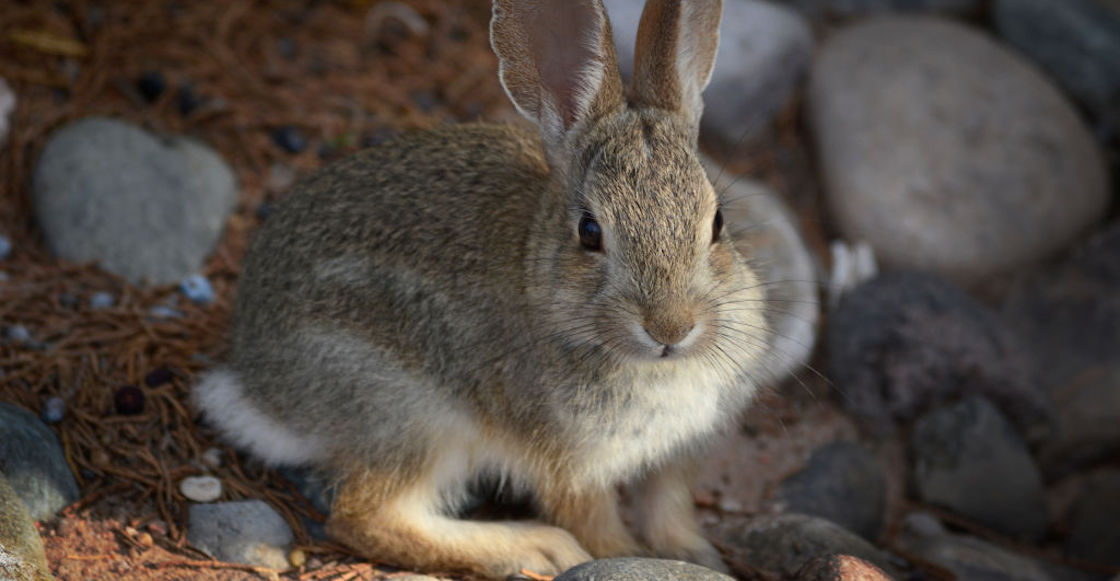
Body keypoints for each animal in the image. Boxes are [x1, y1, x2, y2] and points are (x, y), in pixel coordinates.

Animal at [192, 0, 770, 573]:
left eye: (717, 222)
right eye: (590, 232)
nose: (671, 328)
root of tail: (257, 385)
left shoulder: (676, 456)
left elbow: (667, 509)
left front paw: (699, 556)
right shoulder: (570, 464)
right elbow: (596, 526)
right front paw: (621, 554)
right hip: (411, 414)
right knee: (366, 518)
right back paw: (534, 548)